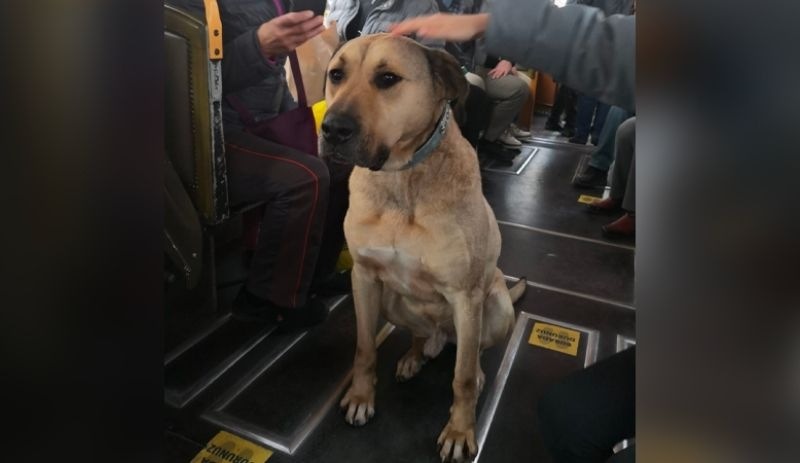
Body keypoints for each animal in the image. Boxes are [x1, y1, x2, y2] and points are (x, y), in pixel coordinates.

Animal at [318, 33, 524, 463]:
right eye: (336, 75)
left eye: (388, 78)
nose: (332, 129)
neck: (401, 177)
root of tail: (440, 337)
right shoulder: (364, 278)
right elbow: (364, 347)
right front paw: (361, 397)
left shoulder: (466, 296)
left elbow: (462, 377)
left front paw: (460, 431)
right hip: (392, 302)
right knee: (417, 334)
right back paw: (414, 355)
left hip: (496, 308)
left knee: (473, 351)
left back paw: (478, 370)